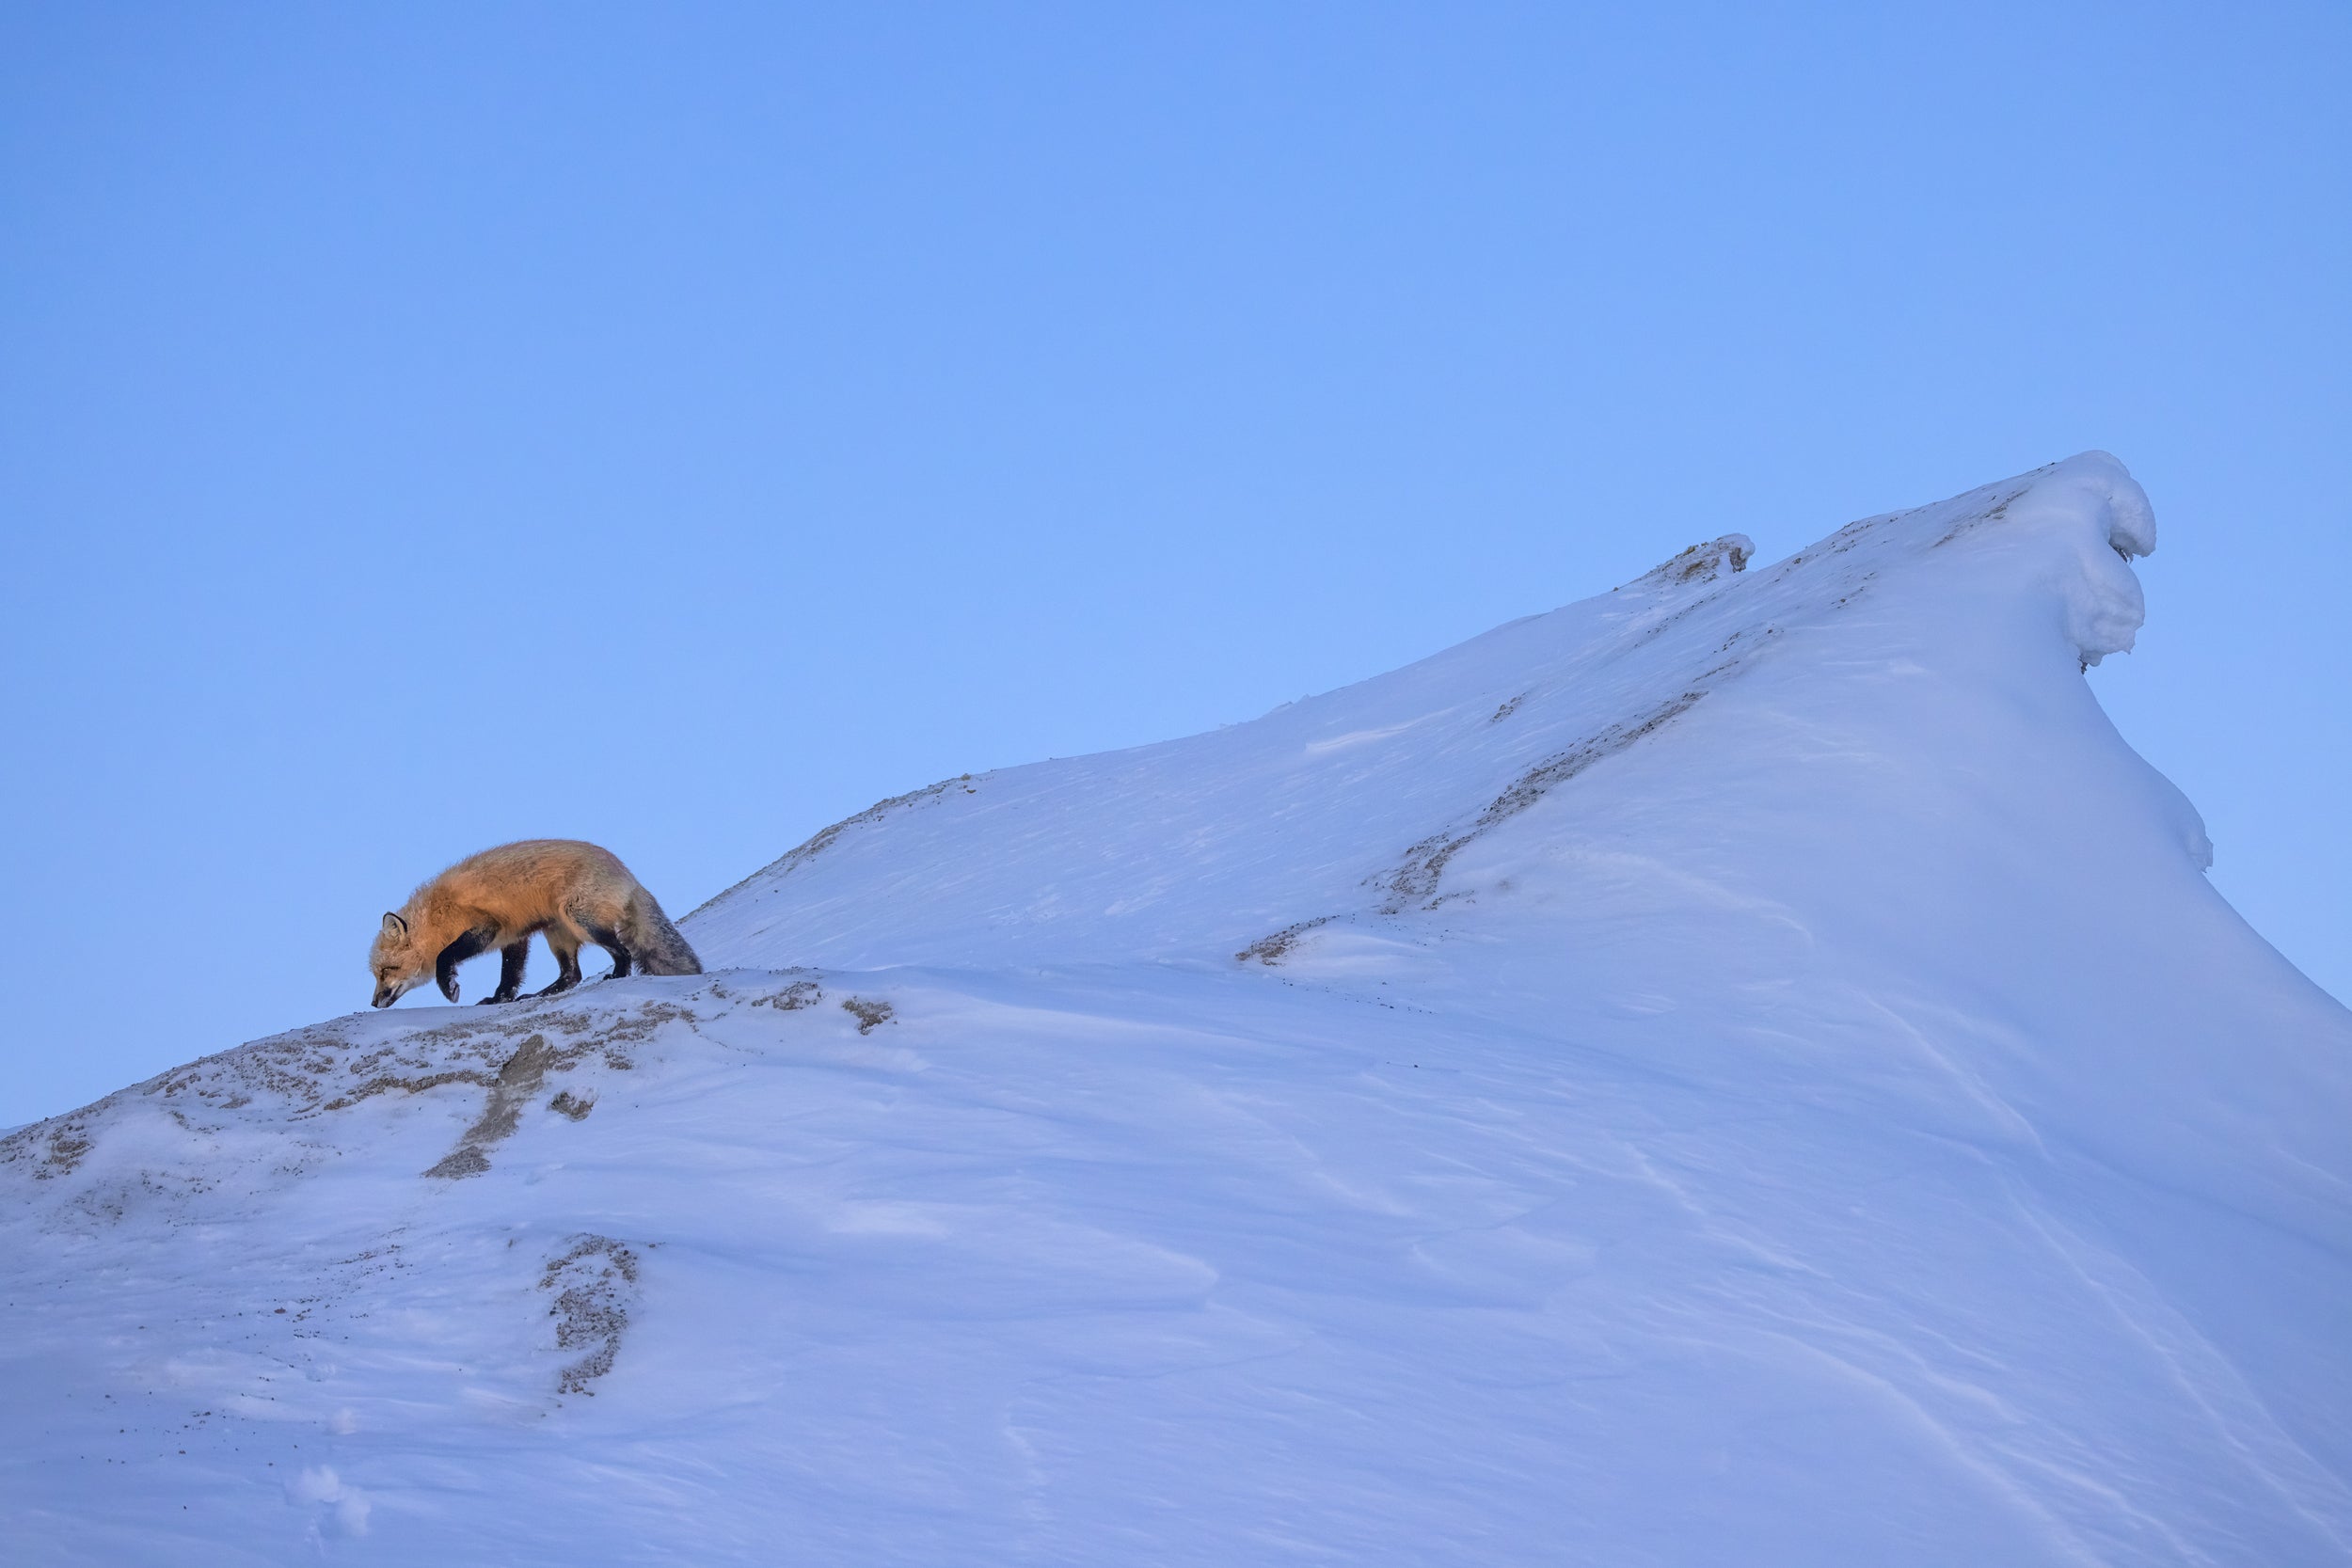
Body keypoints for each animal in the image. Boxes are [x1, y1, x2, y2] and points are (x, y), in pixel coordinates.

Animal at [368, 840, 702, 1009]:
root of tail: (630, 877)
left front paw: (449, 987)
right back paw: (541, 994)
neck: (436, 916)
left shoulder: (486, 926)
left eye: (387, 971)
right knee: (572, 975)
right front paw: (498, 1000)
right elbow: (509, 976)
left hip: (579, 918)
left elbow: (443, 957)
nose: (373, 1002)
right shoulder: (513, 936)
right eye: (377, 974)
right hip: (557, 934)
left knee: (623, 952)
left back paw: (618, 974)